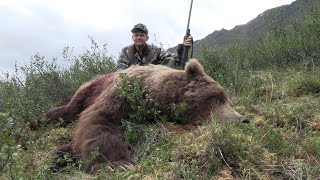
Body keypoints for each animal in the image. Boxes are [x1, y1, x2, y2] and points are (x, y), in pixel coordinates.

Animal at [47, 58, 244, 173]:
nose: (243, 119)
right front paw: (118, 163)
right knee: (69, 109)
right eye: (217, 98)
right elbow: (100, 121)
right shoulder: (123, 94)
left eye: (228, 99)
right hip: (89, 89)